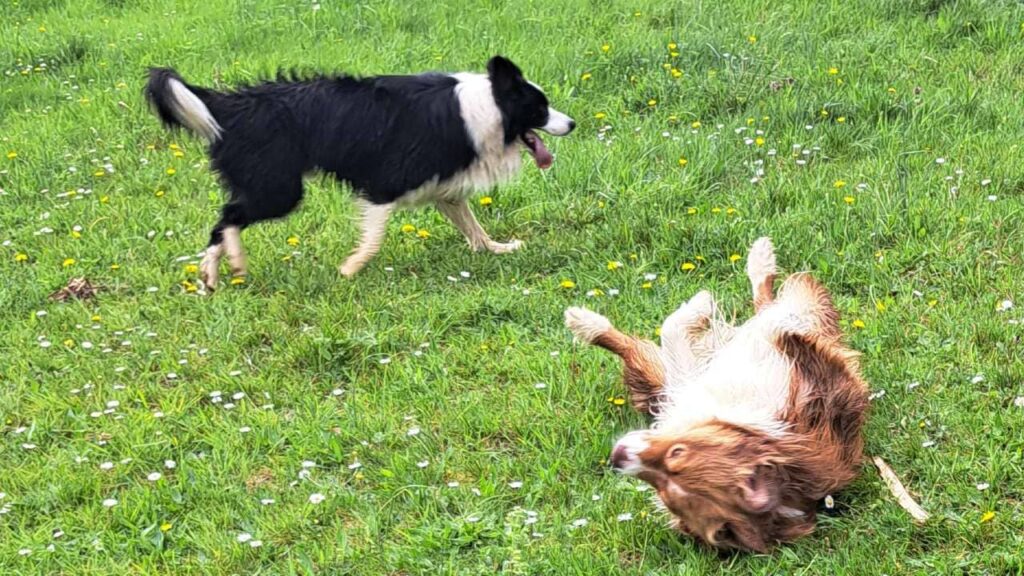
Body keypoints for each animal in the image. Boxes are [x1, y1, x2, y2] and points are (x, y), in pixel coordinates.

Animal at [565, 236, 868, 553]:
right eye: (664, 493)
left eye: (677, 453)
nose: (618, 456)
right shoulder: (689, 391)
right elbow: (672, 330)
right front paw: (701, 306)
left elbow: (782, 315)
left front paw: (705, 305)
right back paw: (584, 321)